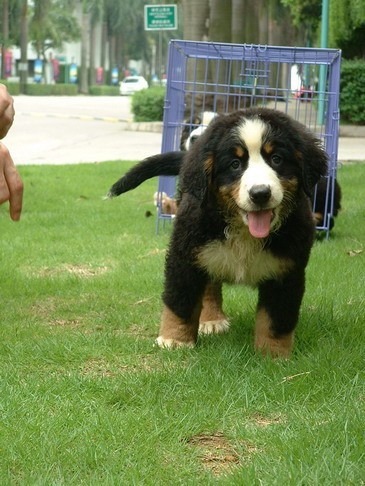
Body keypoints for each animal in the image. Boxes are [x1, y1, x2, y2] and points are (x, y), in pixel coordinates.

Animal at [106, 107, 326, 356]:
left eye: (276, 159)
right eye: (235, 164)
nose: (260, 193)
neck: (244, 231)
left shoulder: (287, 270)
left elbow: (276, 318)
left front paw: (273, 354)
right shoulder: (185, 255)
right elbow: (180, 301)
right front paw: (175, 339)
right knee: (209, 285)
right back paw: (211, 319)